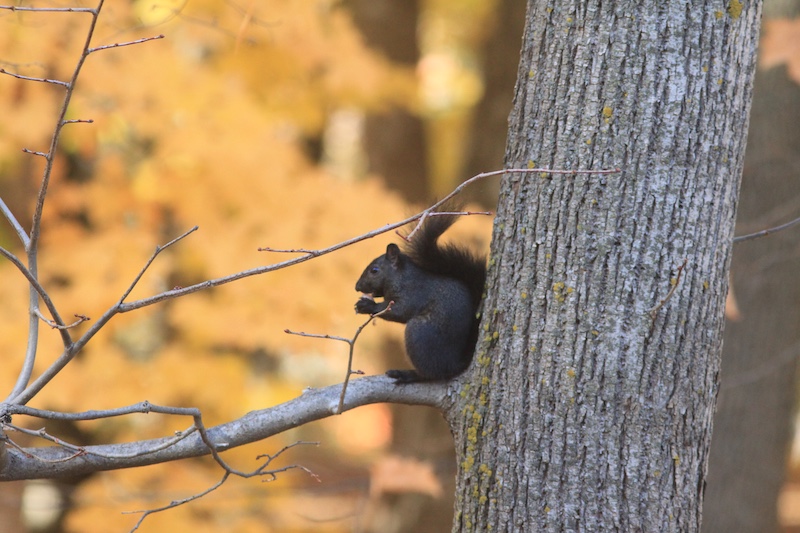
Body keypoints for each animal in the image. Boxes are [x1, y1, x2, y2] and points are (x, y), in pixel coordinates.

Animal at [354, 209, 487, 383]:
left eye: (374, 270)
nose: (357, 287)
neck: (401, 277)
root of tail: (456, 363)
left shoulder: (413, 294)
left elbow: (399, 311)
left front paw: (367, 306)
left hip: (418, 333)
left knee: (431, 374)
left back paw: (407, 374)